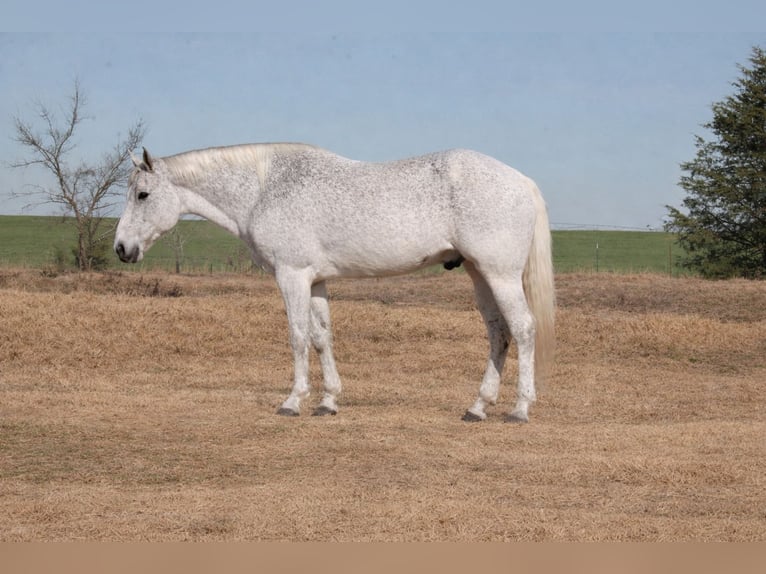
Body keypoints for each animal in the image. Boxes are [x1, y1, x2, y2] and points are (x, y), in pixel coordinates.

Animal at [114, 144, 555, 423]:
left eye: (142, 194)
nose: (121, 248)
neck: (263, 190)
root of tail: (522, 180)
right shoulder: (315, 281)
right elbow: (321, 337)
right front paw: (327, 402)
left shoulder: (291, 275)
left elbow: (296, 336)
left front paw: (293, 401)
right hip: (480, 273)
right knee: (498, 333)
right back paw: (477, 407)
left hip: (499, 274)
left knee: (523, 329)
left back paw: (519, 409)